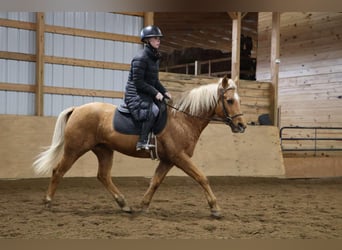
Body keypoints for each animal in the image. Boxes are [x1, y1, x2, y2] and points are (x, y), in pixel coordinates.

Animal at [32, 75, 246, 217]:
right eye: (229, 100)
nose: (241, 126)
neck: (183, 119)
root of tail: (77, 109)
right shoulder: (179, 157)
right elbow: (202, 177)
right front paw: (215, 208)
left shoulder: (168, 160)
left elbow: (155, 181)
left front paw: (143, 205)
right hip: (74, 149)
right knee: (58, 171)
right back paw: (48, 202)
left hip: (104, 150)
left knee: (103, 176)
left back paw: (124, 204)